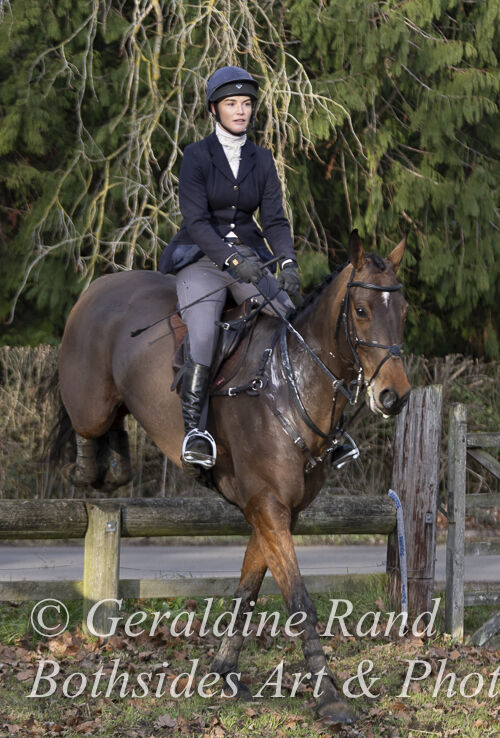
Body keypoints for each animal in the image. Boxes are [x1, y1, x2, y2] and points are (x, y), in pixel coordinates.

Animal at [51, 230, 410, 724]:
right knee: (85, 426)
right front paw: (329, 696)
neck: (289, 384)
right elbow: (298, 600)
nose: (396, 396)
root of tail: (98, 285)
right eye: (361, 310)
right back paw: (88, 466)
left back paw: (115, 462)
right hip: (90, 402)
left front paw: (223, 670)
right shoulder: (267, 506)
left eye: (404, 311)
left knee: (116, 432)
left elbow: (249, 587)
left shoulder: (278, 510)